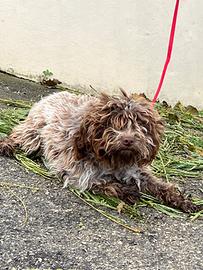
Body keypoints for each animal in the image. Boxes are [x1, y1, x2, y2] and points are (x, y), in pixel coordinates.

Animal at [0, 91, 200, 213]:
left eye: (139, 126)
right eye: (114, 125)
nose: (128, 140)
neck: (114, 160)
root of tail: (51, 95)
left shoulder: (136, 171)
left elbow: (160, 185)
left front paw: (181, 200)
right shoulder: (80, 173)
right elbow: (103, 183)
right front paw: (128, 191)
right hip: (33, 134)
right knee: (18, 135)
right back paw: (6, 145)